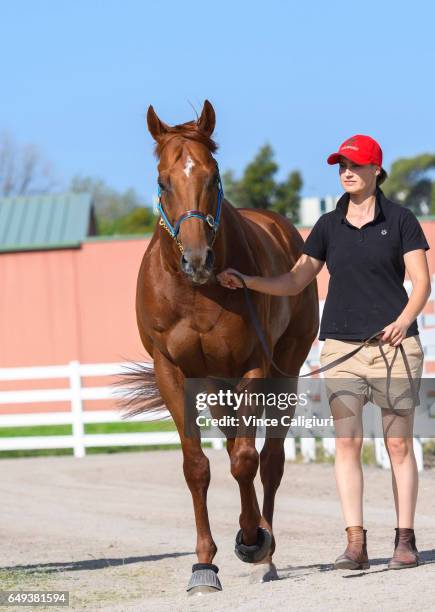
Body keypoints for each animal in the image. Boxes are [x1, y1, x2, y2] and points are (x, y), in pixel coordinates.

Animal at [131, 99, 318, 592]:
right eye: (162, 180)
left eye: (213, 175)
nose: (197, 259)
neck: (196, 293)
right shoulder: (173, 372)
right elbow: (197, 466)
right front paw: (204, 564)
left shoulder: (253, 367)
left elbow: (245, 461)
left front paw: (253, 541)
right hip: (217, 385)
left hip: (284, 373)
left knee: (269, 460)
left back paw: (265, 551)